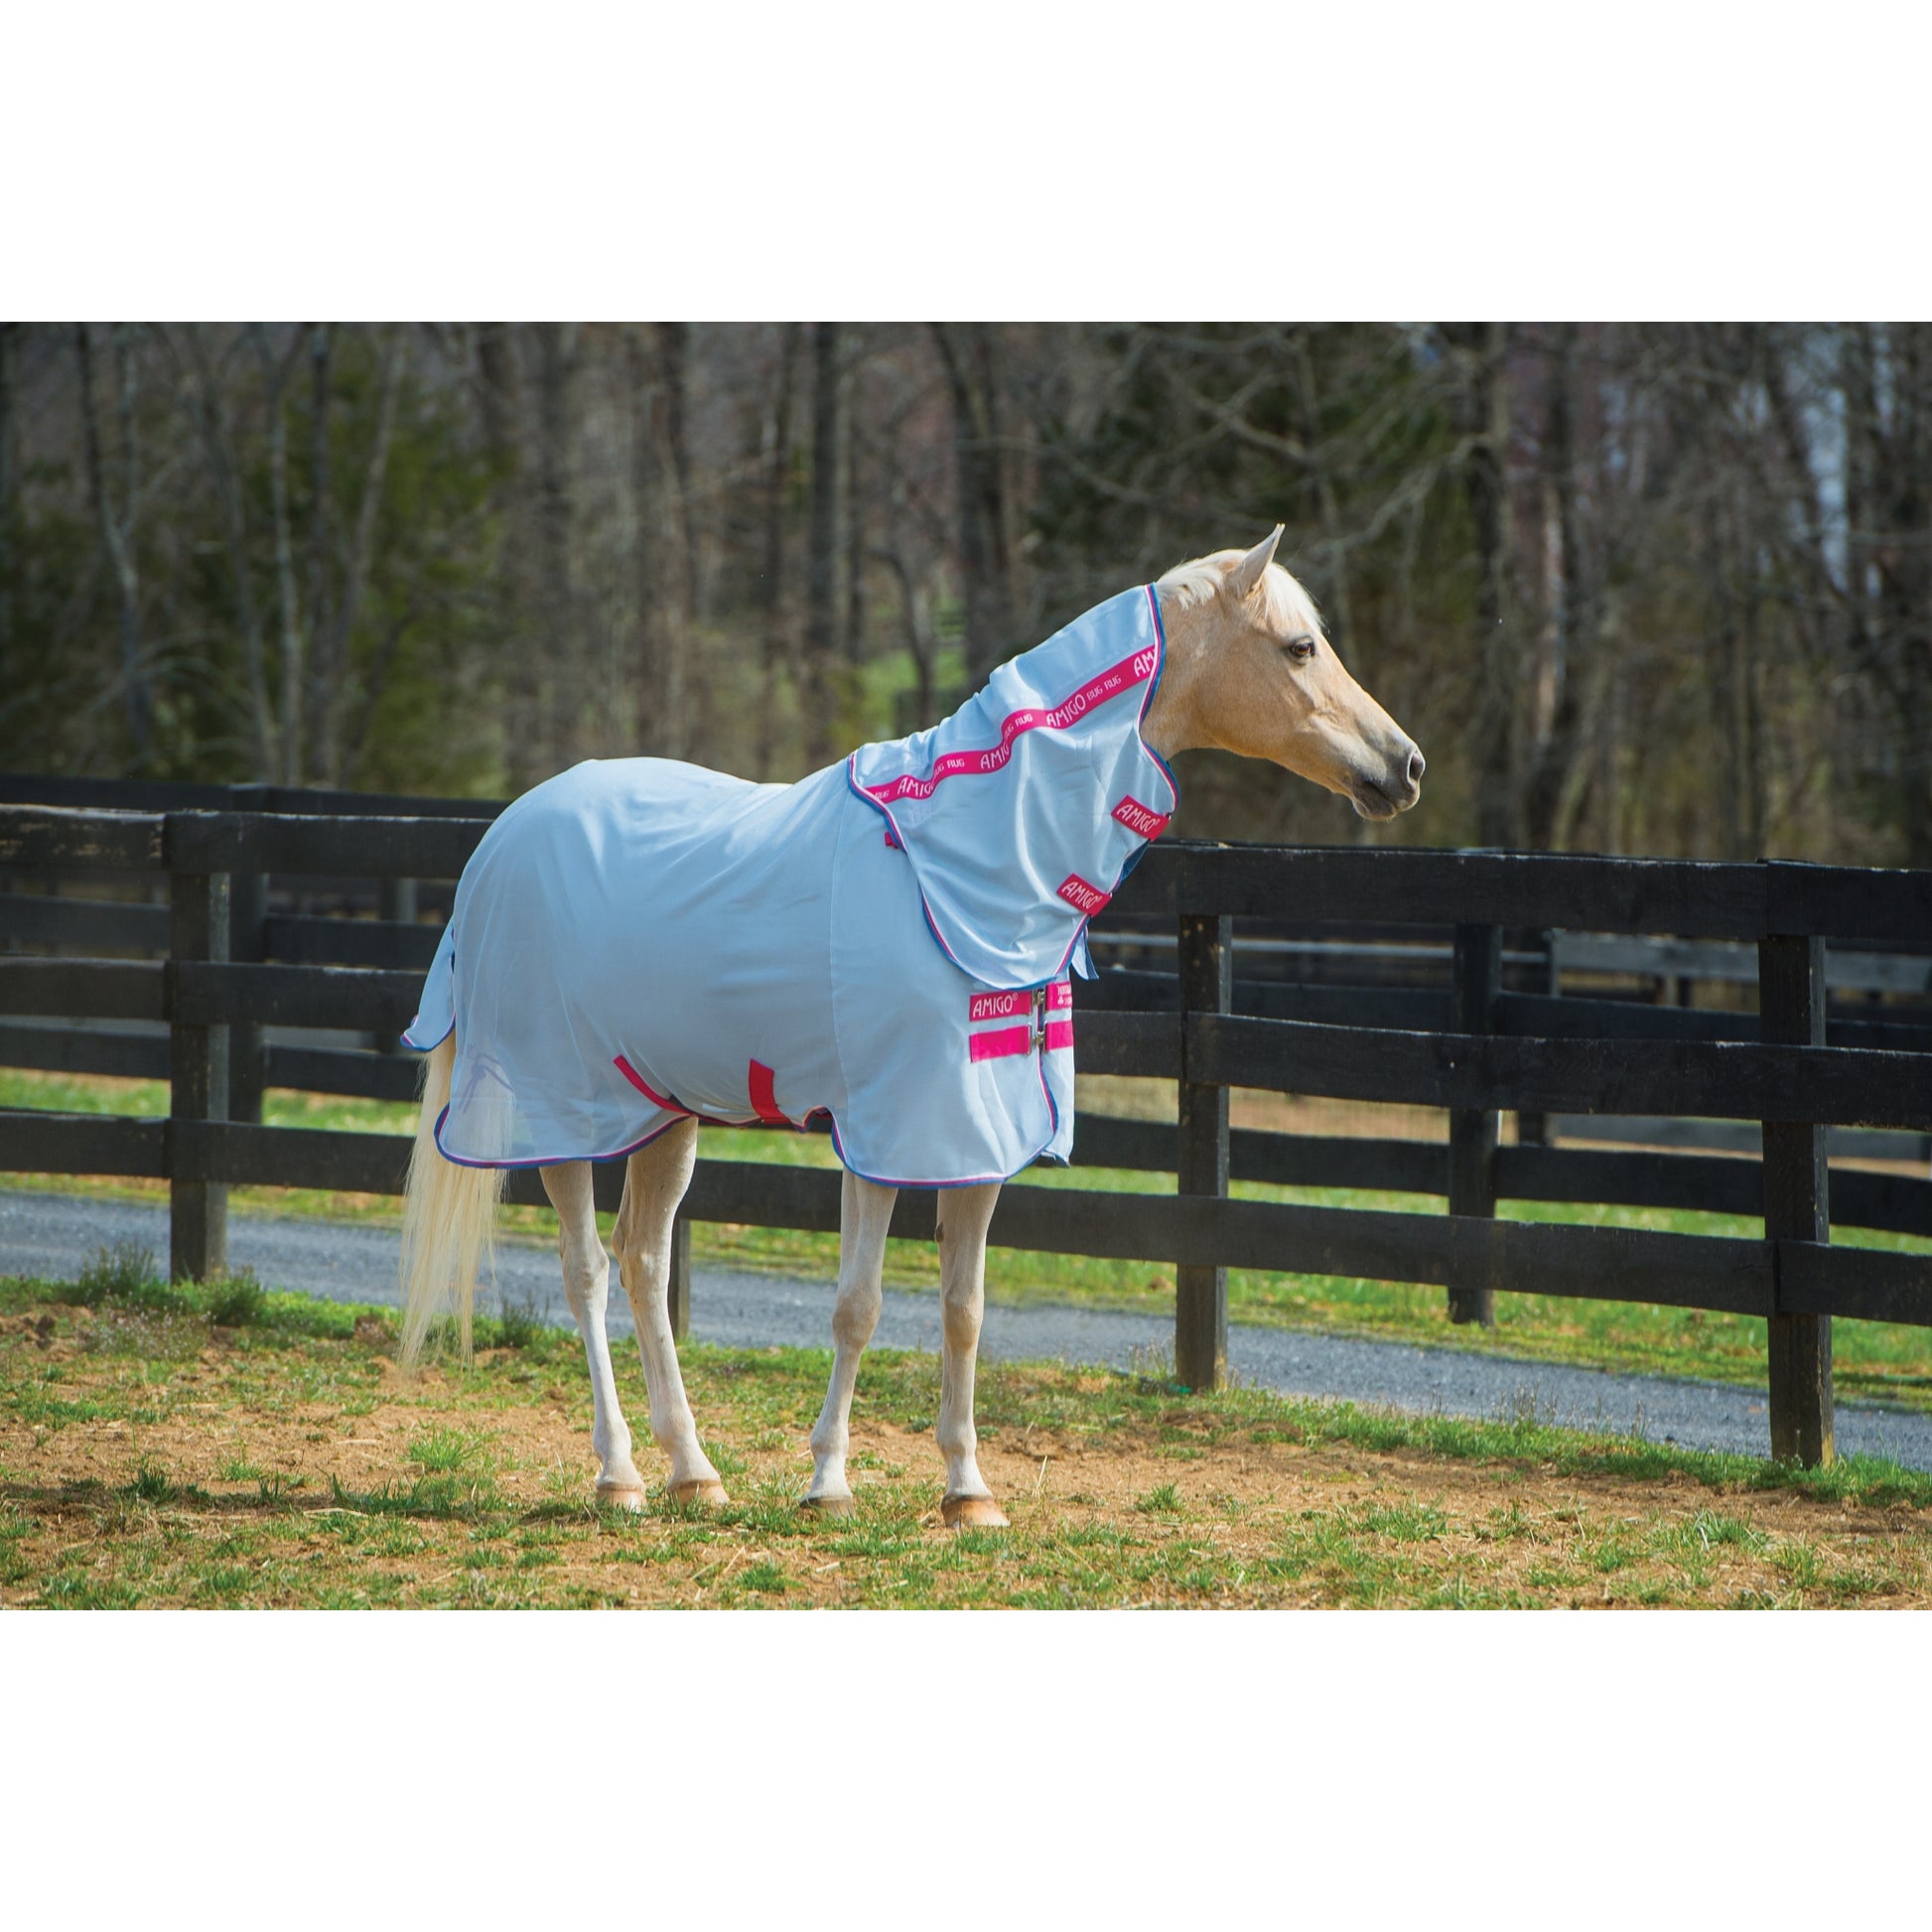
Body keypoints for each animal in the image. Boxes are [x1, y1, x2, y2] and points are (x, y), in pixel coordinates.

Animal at [396, 526, 1423, 1527]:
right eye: (1300, 647)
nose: (1404, 765)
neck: (960, 865)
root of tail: (501, 840)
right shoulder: (886, 1134)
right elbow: (860, 1305)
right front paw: (829, 1483)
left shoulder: (974, 1138)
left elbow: (963, 1308)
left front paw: (969, 1491)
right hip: (554, 1113)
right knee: (586, 1273)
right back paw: (620, 1476)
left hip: (663, 1110)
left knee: (644, 1264)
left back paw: (694, 1472)